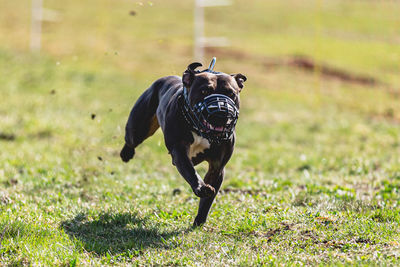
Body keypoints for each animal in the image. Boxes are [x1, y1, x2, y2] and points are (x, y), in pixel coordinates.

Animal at [119, 59, 245, 227]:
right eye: (204, 91)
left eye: (231, 93)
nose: (221, 112)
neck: (201, 130)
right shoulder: (179, 151)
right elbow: (190, 171)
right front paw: (201, 187)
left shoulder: (217, 167)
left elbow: (208, 200)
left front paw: (200, 220)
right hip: (139, 128)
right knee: (131, 140)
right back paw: (126, 153)